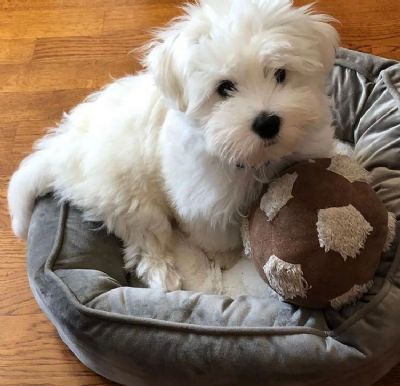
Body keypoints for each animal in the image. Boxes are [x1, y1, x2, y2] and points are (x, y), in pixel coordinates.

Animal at [7, 0, 340, 290]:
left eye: (280, 73)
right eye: (224, 88)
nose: (267, 122)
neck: (258, 158)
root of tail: (64, 148)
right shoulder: (203, 197)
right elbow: (215, 232)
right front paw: (225, 256)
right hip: (129, 198)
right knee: (146, 240)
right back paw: (162, 274)